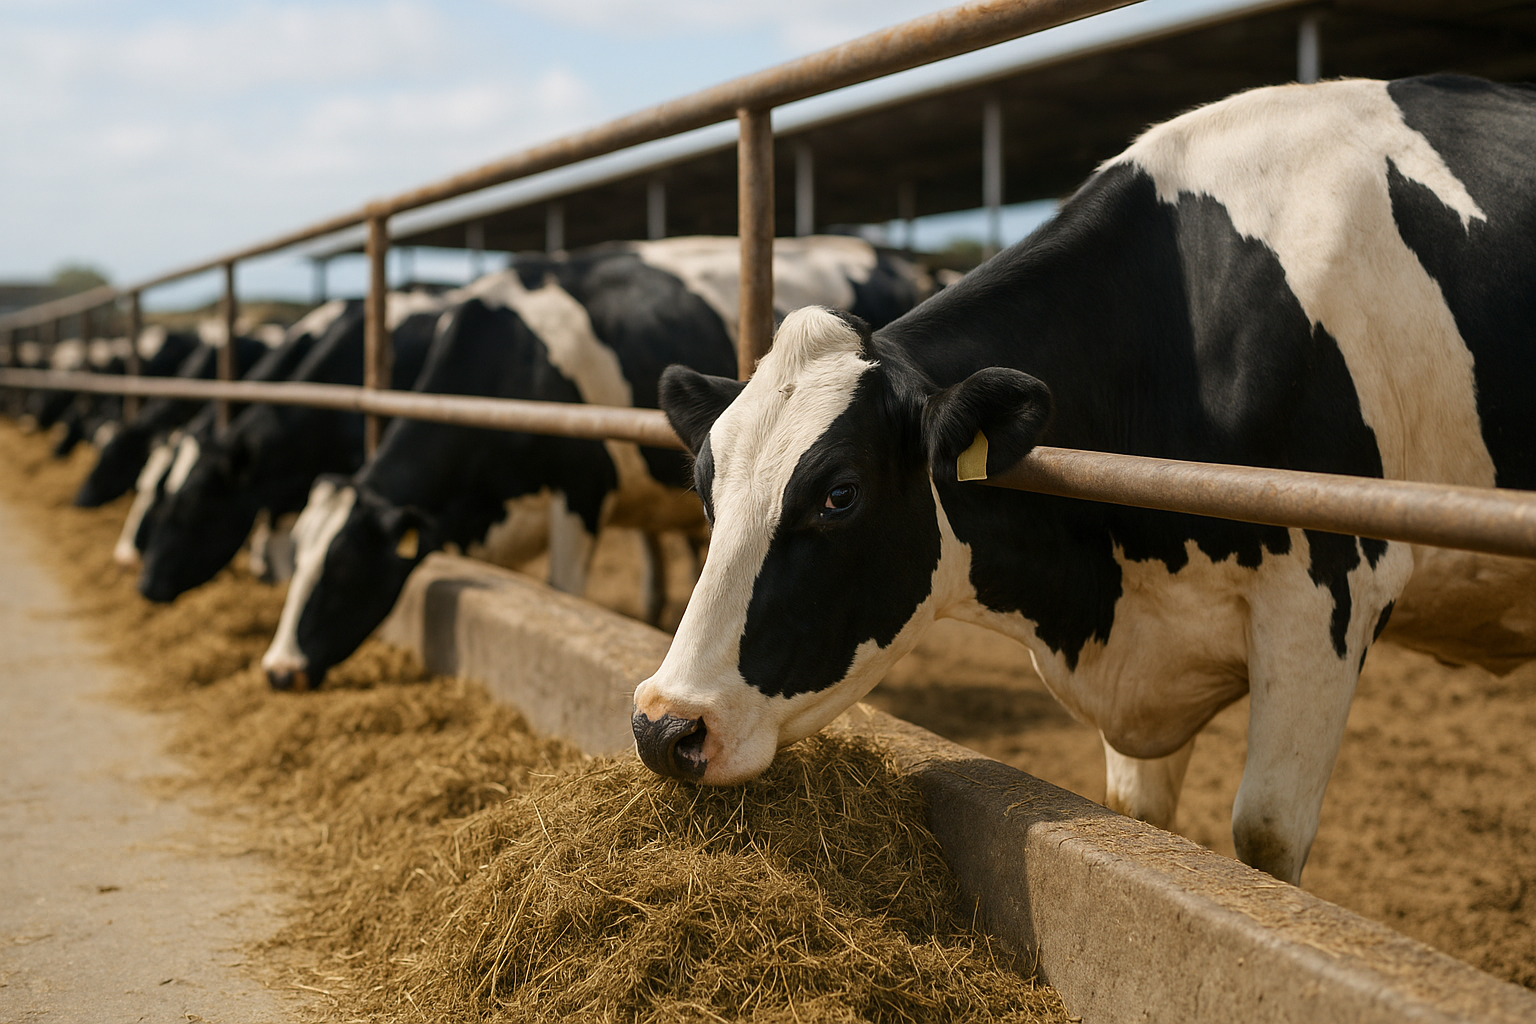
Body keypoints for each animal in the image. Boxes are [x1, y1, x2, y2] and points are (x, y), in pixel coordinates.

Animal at [634, 75, 1536, 885]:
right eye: (707, 487)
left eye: (839, 494)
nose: (665, 727)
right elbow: (1141, 815)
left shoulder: (1329, 594)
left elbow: (1267, 833)